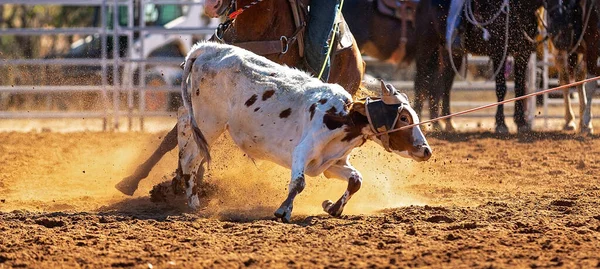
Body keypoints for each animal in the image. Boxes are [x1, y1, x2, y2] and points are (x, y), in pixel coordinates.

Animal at [173, 42, 432, 222]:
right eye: (405, 117)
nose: (426, 151)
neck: (344, 115)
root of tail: (207, 49)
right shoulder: (302, 151)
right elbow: (298, 183)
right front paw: (283, 211)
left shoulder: (330, 164)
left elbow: (356, 180)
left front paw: (332, 207)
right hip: (209, 122)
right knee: (191, 157)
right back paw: (193, 201)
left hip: (200, 119)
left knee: (184, 125)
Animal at [414, 0, 540, 131]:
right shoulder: (499, 53)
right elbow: (501, 88)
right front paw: (501, 124)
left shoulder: (523, 53)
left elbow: (519, 88)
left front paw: (521, 123)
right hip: (425, 46)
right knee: (421, 81)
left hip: (450, 54)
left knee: (444, 83)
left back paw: (446, 123)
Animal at [548, 0, 596, 134]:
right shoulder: (592, 47)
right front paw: (586, 123)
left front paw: (586, 123)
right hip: (560, 51)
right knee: (565, 80)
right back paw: (569, 121)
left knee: (579, 79)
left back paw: (582, 122)